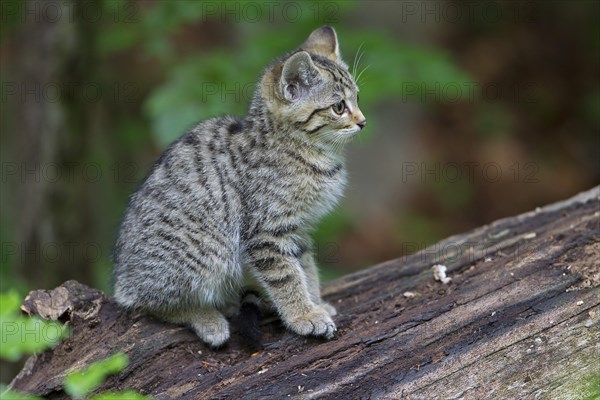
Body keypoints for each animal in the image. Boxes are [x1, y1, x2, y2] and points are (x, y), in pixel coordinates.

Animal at [112, 25, 366, 346]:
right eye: (339, 107)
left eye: (357, 98)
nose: (362, 121)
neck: (306, 150)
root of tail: (123, 278)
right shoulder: (265, 232)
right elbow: (287, 276)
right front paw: (304, 316)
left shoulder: (299, 229)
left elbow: (306, 268)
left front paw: (315, 303)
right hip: (208, 251)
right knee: (149, 303)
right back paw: (207, 318)